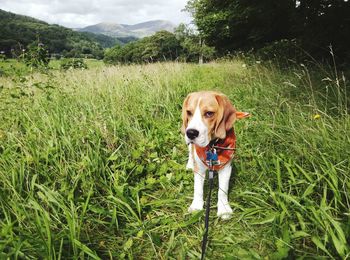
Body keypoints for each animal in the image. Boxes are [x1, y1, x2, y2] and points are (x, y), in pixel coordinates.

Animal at [180, 91, 249, 219]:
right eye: (189, 112)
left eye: (209, 113)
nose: (190, 133)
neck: (212, 146)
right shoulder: (199, 169)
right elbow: (198, 189)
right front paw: (196, 206)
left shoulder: (226, 168)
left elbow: (222, 190)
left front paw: (224, 209)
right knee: (190, 151)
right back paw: (190, 164)